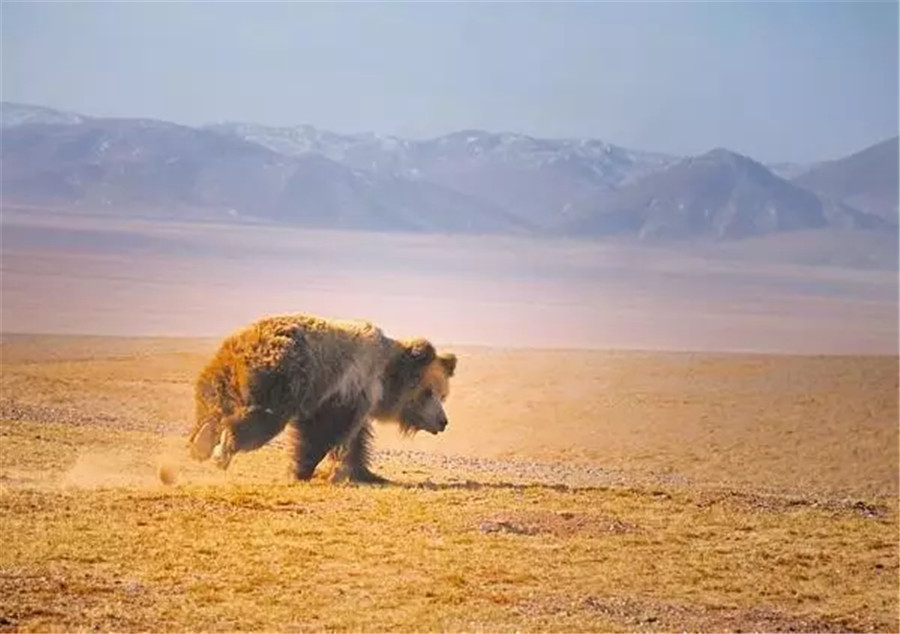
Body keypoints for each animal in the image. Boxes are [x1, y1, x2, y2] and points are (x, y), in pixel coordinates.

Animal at [188, 314, 458, 482]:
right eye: (428, 392)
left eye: (444, 395)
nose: (443, 421)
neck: (384, 376)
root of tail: (243, 347)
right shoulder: (342, 387)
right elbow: (322, 431)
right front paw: (300, 469)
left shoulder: (358, 400)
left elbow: (355, 439)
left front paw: (362, 473)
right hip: (281, 381)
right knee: (260, 421)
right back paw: (222, 448)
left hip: (220, 377)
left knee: (211, 408)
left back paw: (200, 443)